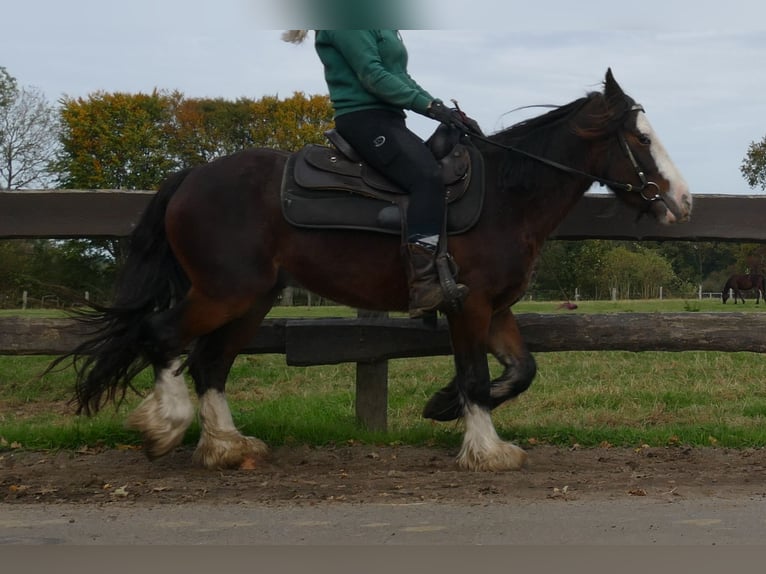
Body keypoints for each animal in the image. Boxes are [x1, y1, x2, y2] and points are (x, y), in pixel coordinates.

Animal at [55, 70, 696, 472]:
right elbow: (476, 377)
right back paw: (166, 427)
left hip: (253, 298)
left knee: (211, 361)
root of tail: (191, 176)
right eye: (640, 138)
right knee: (163, 335)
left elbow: (522, 371)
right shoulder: (468, 304)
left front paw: (441, 407)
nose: (683, 200)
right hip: (224, 292)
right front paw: (484, 449)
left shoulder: (497, 309)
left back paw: (225, 446)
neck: (506, 196)